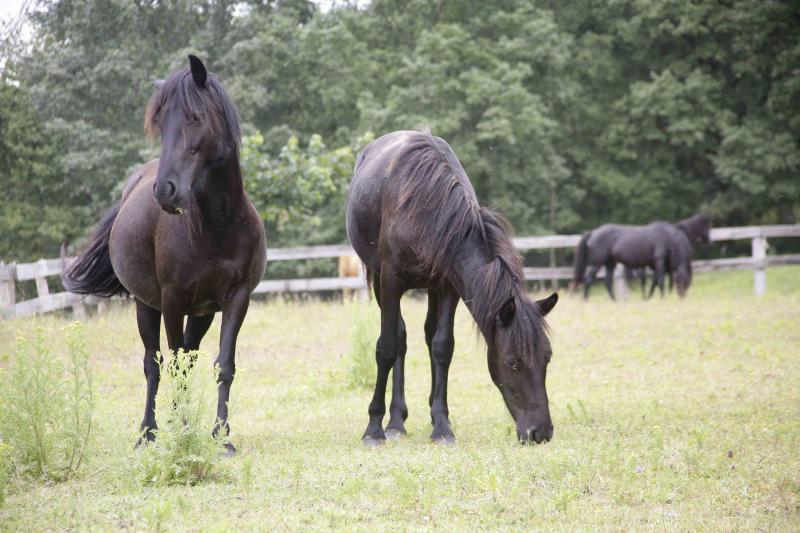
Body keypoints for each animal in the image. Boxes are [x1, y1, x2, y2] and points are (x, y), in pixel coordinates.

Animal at [62, 55, 268, 454]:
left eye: (195, 117)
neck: (218, 225)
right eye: (160, 122)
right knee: (154, 364)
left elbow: (223, 365)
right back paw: (149, 432)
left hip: (202, 313)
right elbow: (172, 366)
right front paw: (182, 433)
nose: (165, 191)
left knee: (187, 355)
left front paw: (222, 437)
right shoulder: (172, 301)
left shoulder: (236, 299)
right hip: (146, 306)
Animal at [346, 130, 560, 444]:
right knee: (399, 338)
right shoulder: (390, 281)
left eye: (547, 357)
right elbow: (386, 347)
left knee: (427, 334)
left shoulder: (448, 287)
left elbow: (442, 346)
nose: (540, 432)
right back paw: (395, 422)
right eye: (511, 362)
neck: (428, 209)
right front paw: (374, 428)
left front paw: (442, 425)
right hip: (378, 281)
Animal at [572, 215, 708, 300]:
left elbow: (655, 281)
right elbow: (660, 280)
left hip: (610, 263)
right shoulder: (659, 261)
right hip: (597, 263)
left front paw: (650, 297)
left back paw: (614, 300)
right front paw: (661, 297)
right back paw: (585, 299)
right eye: (679, 281)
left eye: (686, 282)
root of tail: (593, 232)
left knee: (608, 283)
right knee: (588, 279)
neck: (669, 238)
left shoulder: (657, 265)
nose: (681, 296)